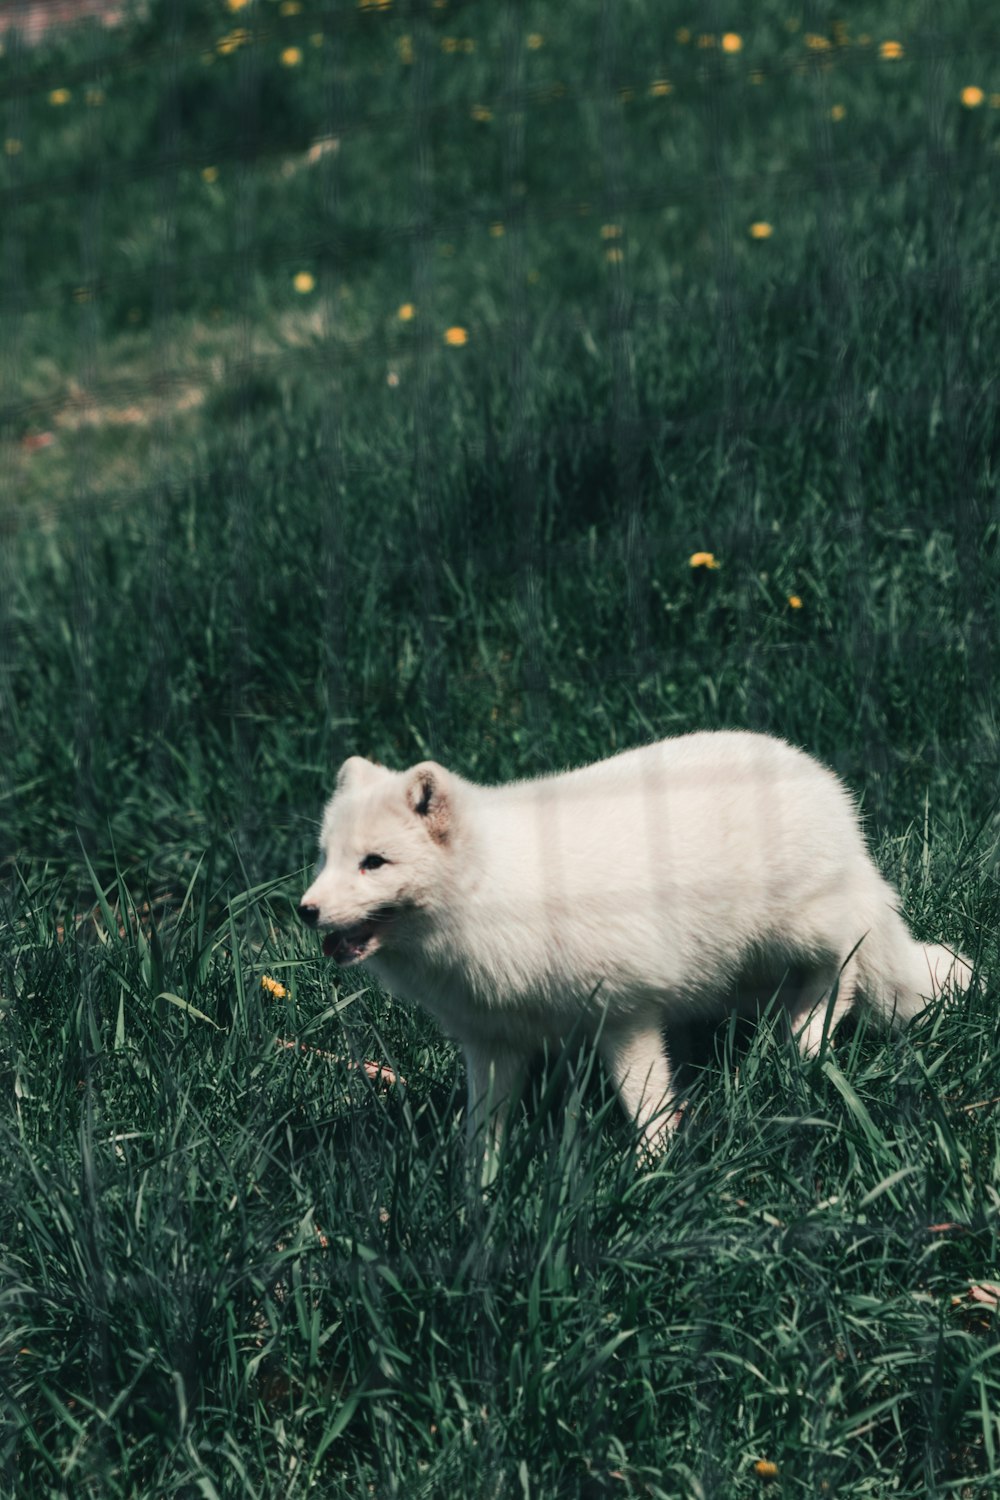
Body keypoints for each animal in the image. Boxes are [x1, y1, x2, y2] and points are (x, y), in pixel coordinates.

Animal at [299, 732, 977, 1164]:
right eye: (326, 857)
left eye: (374, 863)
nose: (305, 910)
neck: (495, 890)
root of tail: (828, 791)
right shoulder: (493, 1043)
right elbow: (482, 1137)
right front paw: (479, 1201)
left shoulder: (627, 1014)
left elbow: (646, 1106)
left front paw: (654, 1174)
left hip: (809, 932)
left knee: (845, 971)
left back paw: (804, 1047)